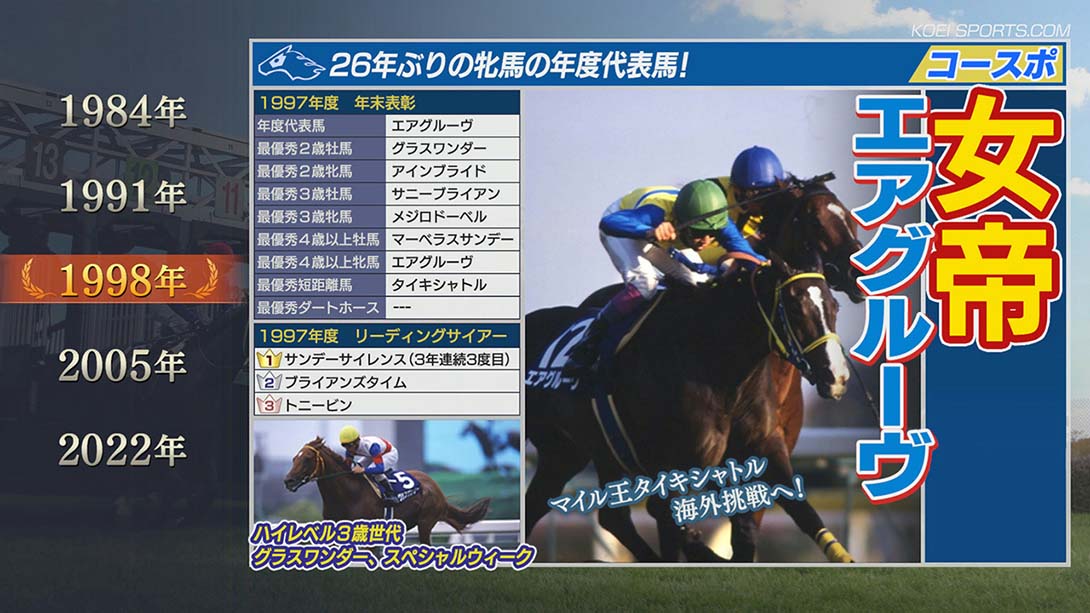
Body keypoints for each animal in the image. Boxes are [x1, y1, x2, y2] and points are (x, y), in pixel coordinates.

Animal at [283, 437, 491, 544]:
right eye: (294, 458)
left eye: (307, 458)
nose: (288, 481)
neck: (348, 495)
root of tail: (435, 487)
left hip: (425, 522)